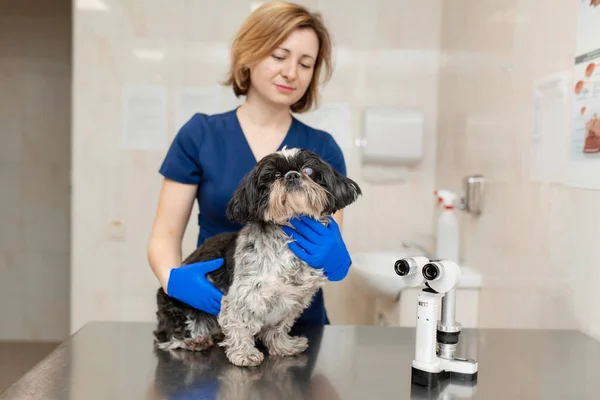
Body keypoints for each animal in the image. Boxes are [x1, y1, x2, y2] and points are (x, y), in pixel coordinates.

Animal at [155, 146, 360, 366]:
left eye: (308, 170)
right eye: (275, 176)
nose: (292, 175)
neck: (287, 238)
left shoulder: (291, 300)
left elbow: (279, 327)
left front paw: (283, 346)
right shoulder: (243, 296)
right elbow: (240, 326)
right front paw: (244, 354)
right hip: (177, 304)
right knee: (168, 333)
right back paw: (193, 340)